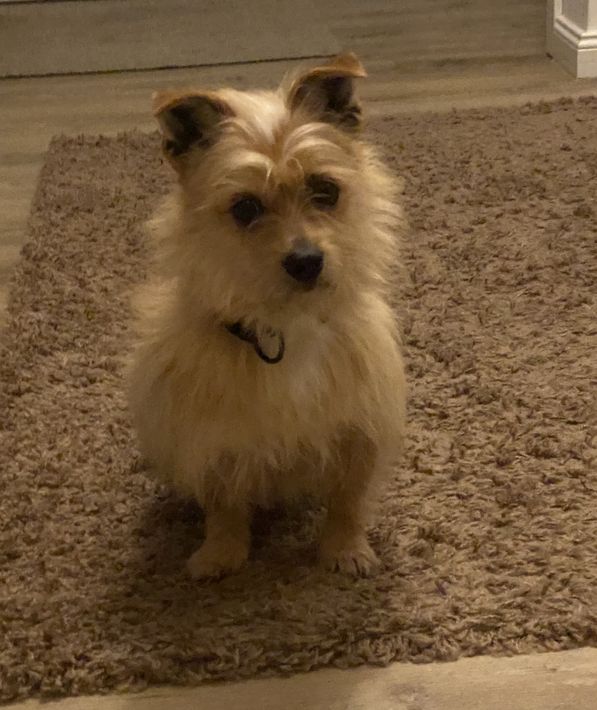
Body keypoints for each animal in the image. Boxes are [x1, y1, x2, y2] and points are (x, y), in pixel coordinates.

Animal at [128, 53, 407, 579]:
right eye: (245, 207)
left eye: (325, 190)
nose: (306, 261)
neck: (284, 327)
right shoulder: (212, 437)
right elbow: (222, 504)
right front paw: (221, 553)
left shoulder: (358, 429)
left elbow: (347, 500)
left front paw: (345, 549)